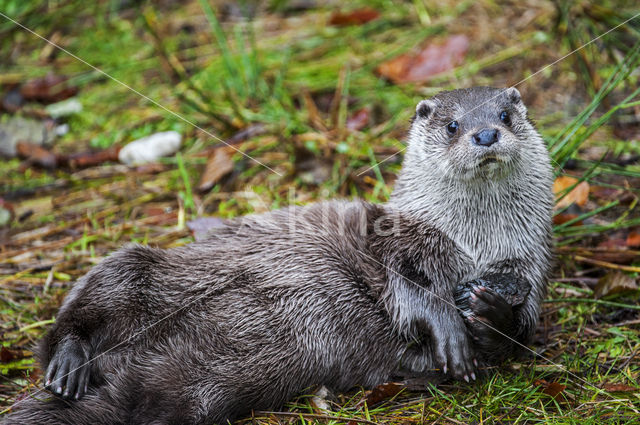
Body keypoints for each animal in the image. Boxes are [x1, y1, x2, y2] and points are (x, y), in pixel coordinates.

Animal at [0, 87, 552, 424]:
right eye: (454, 125)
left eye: (505, 116)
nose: (486, 133)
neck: (469, 243)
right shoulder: (394, 240)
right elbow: (407, 289)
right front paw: (449, 328)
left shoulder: (530, 262)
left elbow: (517, 334)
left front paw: (492, 308)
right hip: (137, 267)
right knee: (76, 312)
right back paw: (68, 364)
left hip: (193, 388)